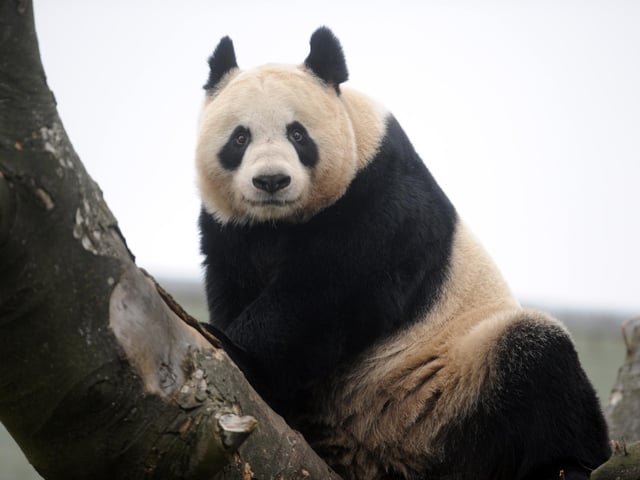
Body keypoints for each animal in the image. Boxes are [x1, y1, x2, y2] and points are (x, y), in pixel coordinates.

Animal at [196, 27, 610, 480]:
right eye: (240, 137)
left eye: (298, 134)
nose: (271, 180)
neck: (279, 222)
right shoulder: (229, 234)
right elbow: (236, 288)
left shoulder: (381, 200)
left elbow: (324, 295)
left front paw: (233, 347)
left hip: (440, 386)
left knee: (539, 361)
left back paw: (568, 464)